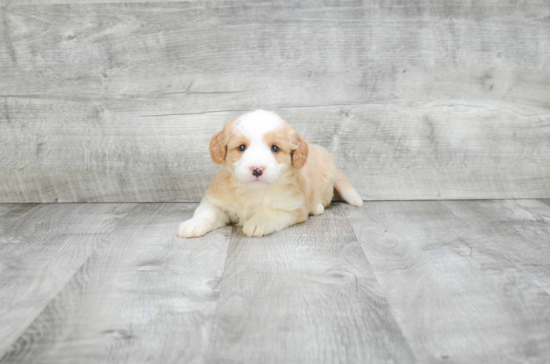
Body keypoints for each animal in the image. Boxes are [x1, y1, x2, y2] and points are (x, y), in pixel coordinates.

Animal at [179, 109, 364, 237]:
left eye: (275, 148)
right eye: (241, 147)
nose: (257, 169)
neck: (252, 191)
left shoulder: (291, 208)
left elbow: (270, 211)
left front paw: (258, 222)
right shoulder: (216, 201)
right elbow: (206, 212)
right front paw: (193, 224)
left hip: (325, 184)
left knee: (324, 199)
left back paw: (317, 206)